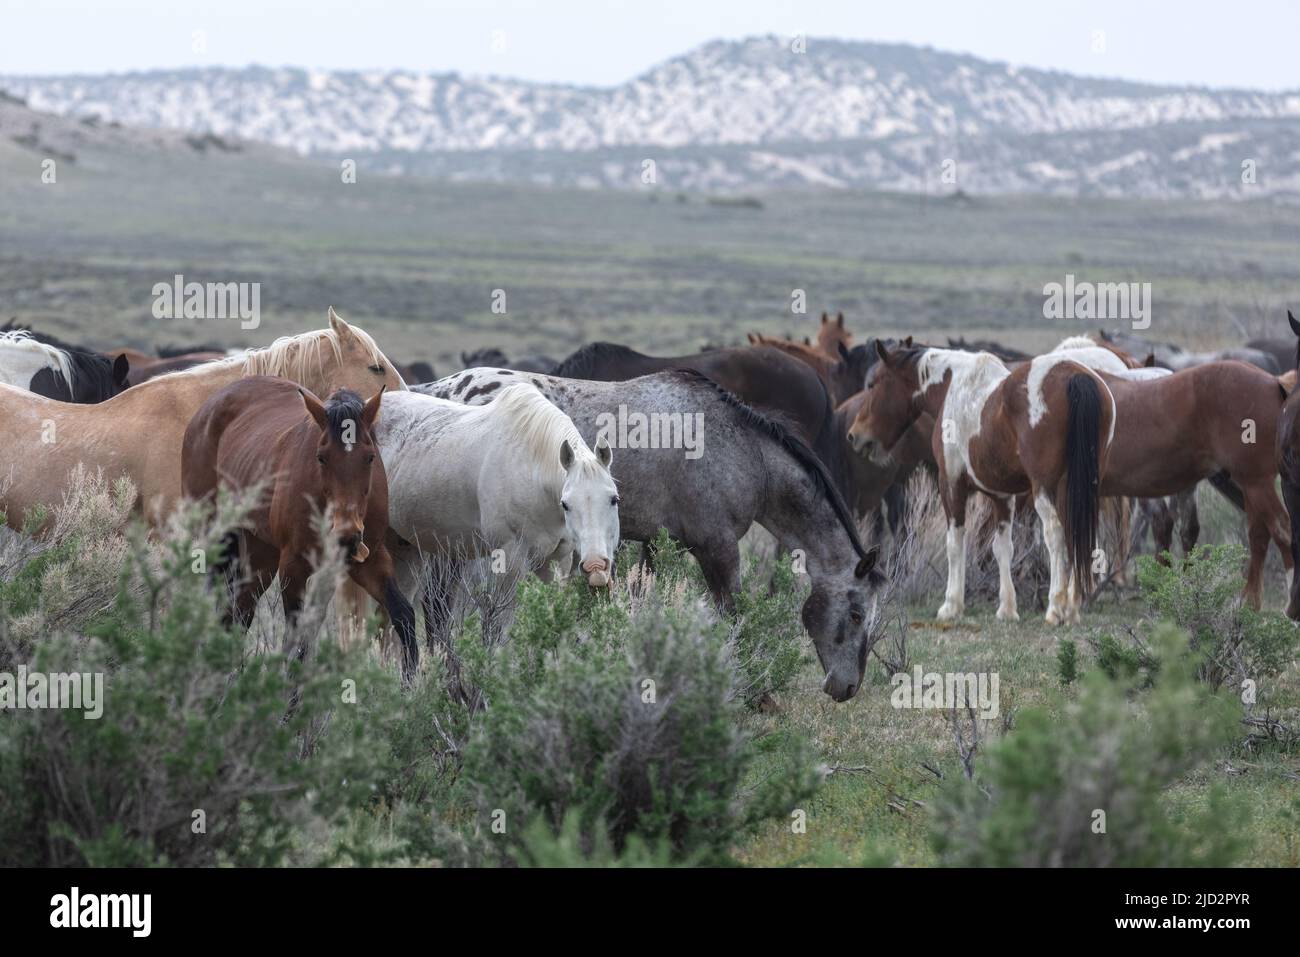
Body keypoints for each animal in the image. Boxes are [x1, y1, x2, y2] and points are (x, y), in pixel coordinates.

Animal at [182, 378, 418, 680]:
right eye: (321, 457)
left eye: (369, 457)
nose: (347, 535)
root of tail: (207, 408)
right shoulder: (293, 566)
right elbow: (296, 642)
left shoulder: (371, 559)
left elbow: (404, 615)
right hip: (216, 537)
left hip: (261, 553)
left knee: (240, 612)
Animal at [372, 383, 619, 647]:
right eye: (566, 504)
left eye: (614, 499)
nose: (595, 565)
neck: (531, 470)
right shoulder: (509, 560)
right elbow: (502, 630)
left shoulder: (556, 560)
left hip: (406, 550)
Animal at [419, 366, 885, 702]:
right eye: (856, 614)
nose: (847, 688)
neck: (741, 452)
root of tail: (438, 389)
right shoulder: (718, 549)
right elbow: (735, 617)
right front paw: (755, 693)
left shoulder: (660, 547)